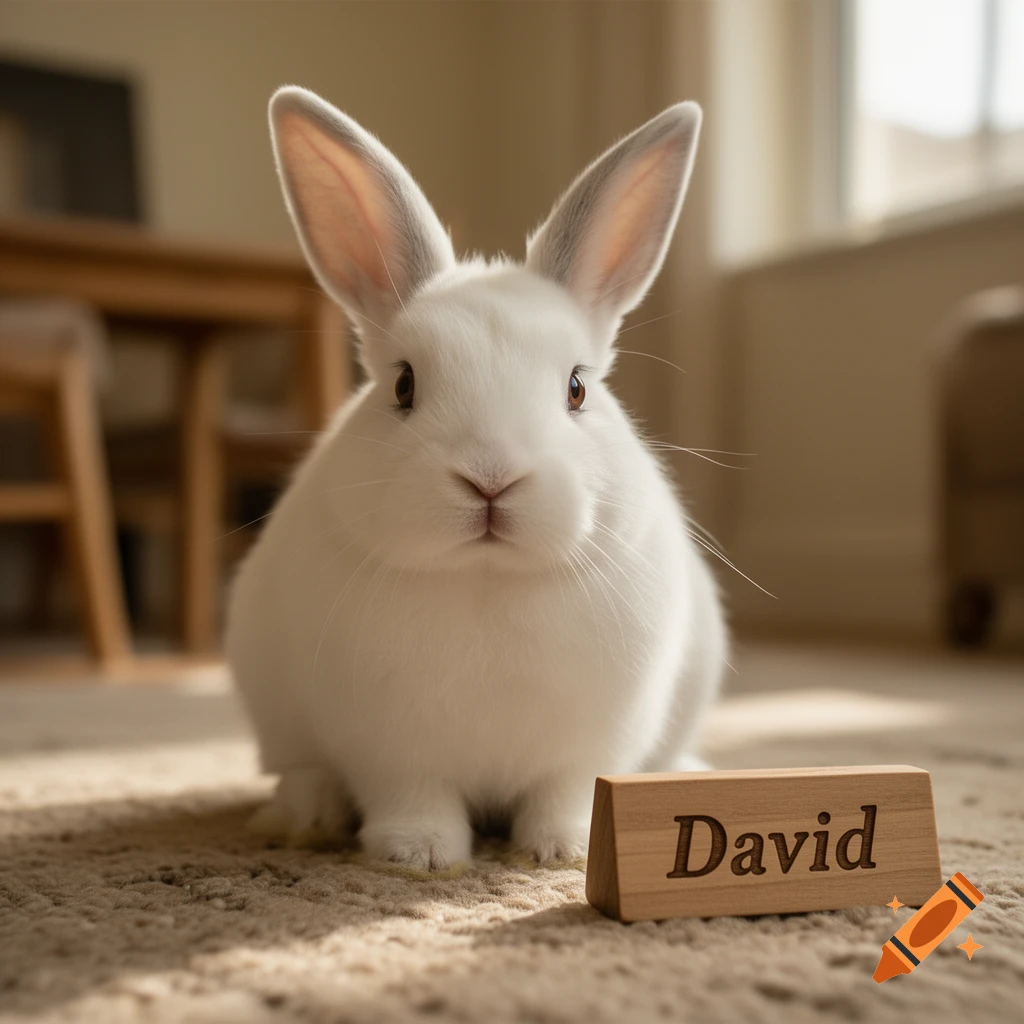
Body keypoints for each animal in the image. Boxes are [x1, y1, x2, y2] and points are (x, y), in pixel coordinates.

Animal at [225, 85, 727, 871]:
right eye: (403, 385)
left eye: (577, 388)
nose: (491, 479)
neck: (487, 578)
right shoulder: (388, 747)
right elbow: (413, 795)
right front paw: (418, 855)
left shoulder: (589, 743)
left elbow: (567, 792)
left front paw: (565, 849)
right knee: (300, 768)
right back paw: (305, 814)